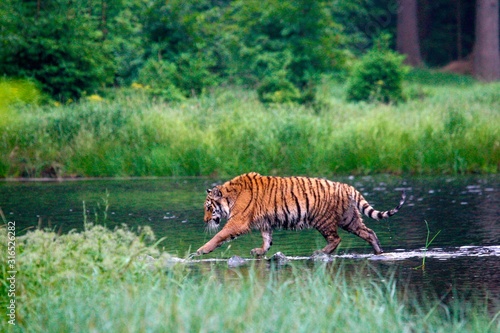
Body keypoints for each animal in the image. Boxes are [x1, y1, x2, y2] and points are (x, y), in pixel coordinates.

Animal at [195, 171, 406, 256]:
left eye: (208, 208)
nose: (204, 220)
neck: (230, 196)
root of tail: (347, 186)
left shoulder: (237, 221)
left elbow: (220, 236)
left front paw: (201, 250)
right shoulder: (265, 223)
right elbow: (267, 239)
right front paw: (260, 251)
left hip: (323, 220)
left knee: (336, 239)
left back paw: (320, 252)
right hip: (350, 218)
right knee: (369, 232)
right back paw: (379, 251)